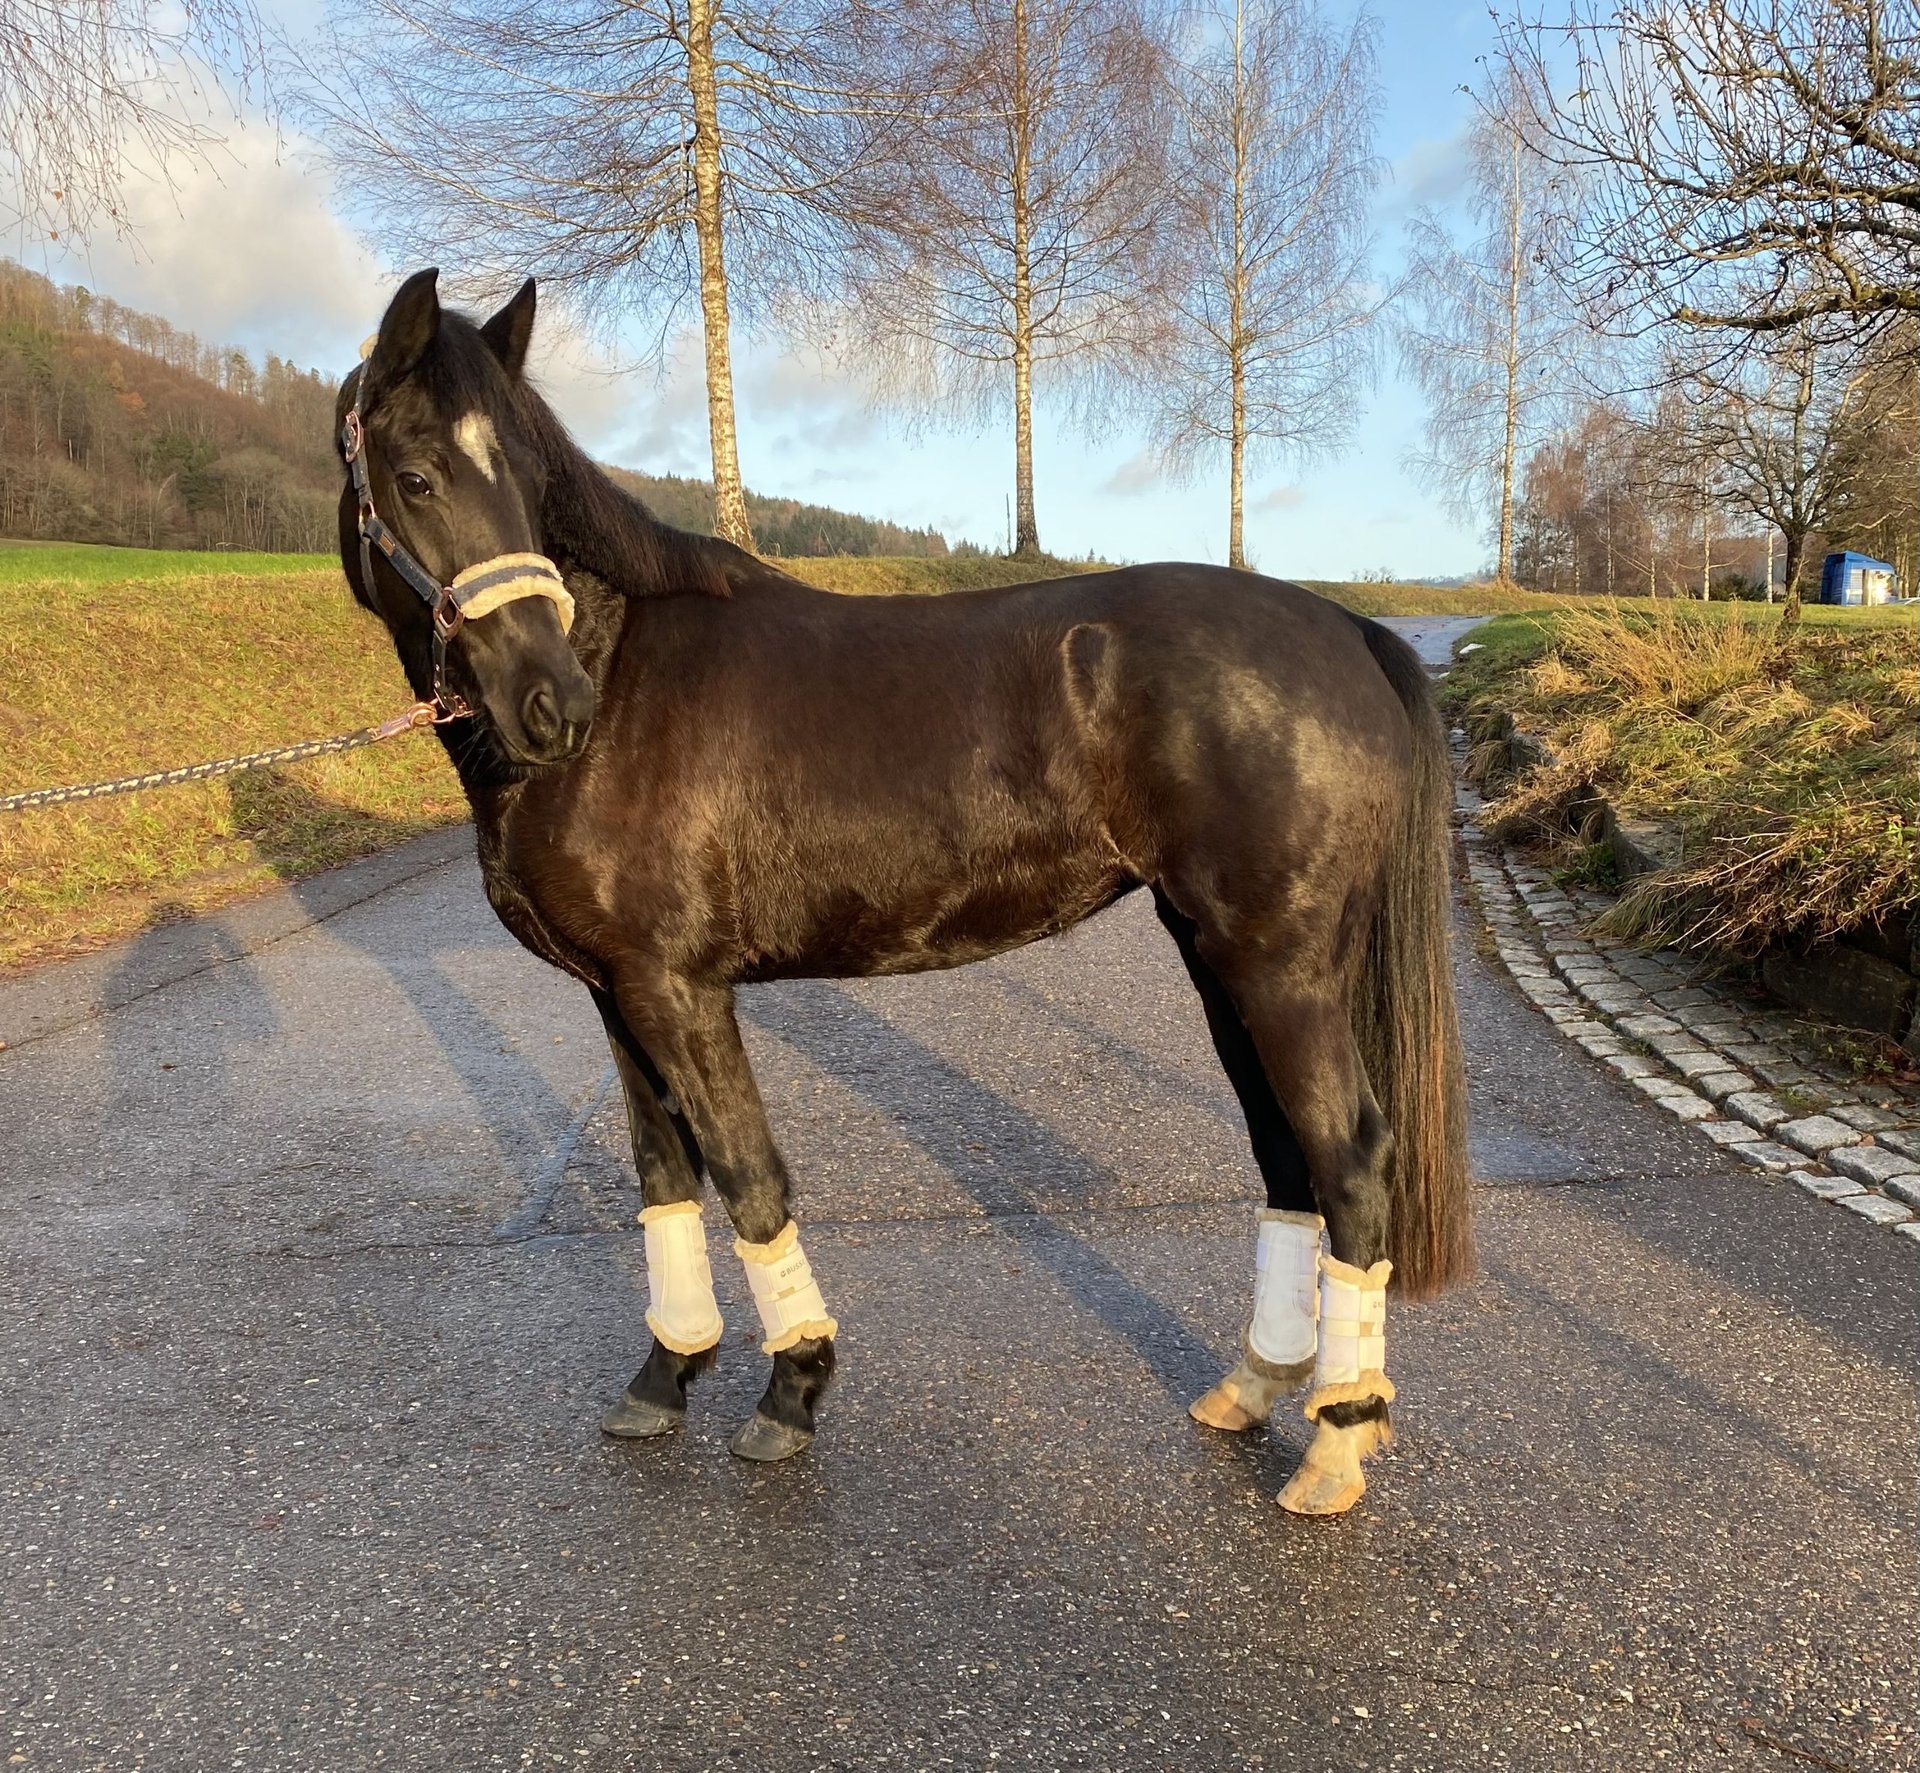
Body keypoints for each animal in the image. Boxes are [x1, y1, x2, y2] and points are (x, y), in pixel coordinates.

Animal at [334, 270, 1466, 1521]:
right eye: (418, 476)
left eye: (530, 486)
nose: (551, 706)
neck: (625, 676)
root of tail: (1345, 627)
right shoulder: (613, 991)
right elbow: (664, 1176)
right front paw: (665, 1374)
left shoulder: (677, 989)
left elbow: (749, 1176)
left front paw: (792, 1390)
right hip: (1224, 961)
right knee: (1285, 1155)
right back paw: (1254, 1389)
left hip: (1281, 969)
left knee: (1351, 1159)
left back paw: (1335, 1445)